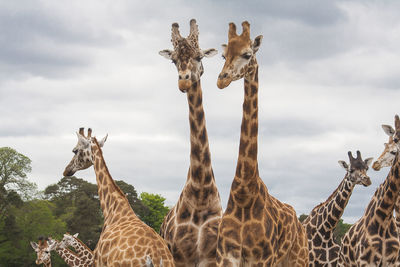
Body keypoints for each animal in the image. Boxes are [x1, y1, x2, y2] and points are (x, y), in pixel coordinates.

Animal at [159, 18, 222, 266]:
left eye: (200, 57)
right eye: (174, 60)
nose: (184, 82)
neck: (201, 192)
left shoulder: (211, 256)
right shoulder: (180, 256)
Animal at [214, 21, 308, 267]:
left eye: (247, 54)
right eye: (223, 55)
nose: (222, 79)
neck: (244, 192)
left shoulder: (263, 258)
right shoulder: (225, 255)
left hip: (299, 257)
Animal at [338, 115, 400, 267]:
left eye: (366, 167)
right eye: (395, 139)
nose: (376, 164)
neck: (384, 217)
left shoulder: (393, 261)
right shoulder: (366, 261)